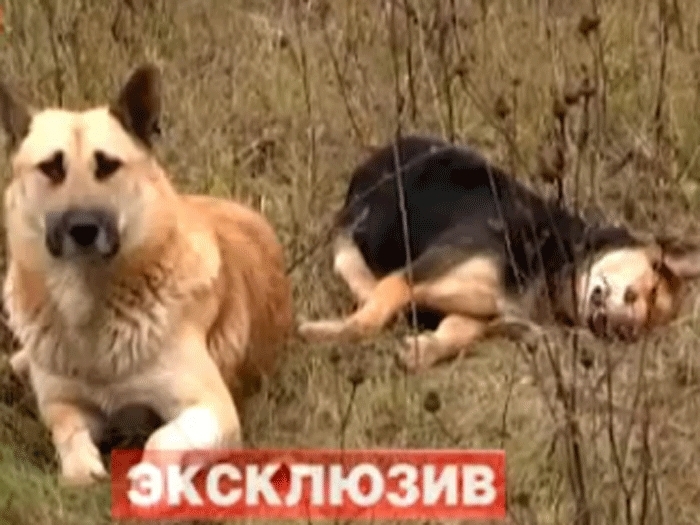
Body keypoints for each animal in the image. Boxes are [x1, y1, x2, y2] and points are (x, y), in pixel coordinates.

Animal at [0, 64, 292, 484]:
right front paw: (81, 470)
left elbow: (160, 438)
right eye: (51, 168)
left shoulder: (214, 408)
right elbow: (68, 434)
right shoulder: (64, 405)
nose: (83, 230)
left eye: (107, 165)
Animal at [298, 136, 700, 372]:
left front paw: (423, 348)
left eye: (638, 332)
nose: (621, 327)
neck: (553, 256)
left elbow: (455, 334)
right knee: (354, 268)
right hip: (358, 231)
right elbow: (366, 322)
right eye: (651, 284)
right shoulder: (415, 273)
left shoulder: (474, 314)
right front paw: (317, 331)